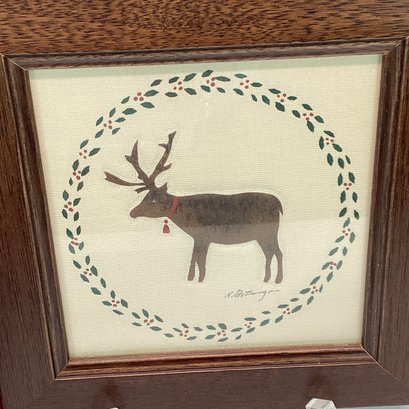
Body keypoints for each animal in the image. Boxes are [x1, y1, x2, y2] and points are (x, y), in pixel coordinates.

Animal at [104, 132, 284, 284]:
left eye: (153, 200)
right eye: (144, 197)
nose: (132, 212)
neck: (186, 218)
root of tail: (279, 204)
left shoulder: (204, 235)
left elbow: (200, 260)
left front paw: (199, 280)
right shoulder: (198, 237)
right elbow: (194, 258)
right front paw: (192, 279)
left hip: (268, 231)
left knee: (277, 253)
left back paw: (277, 280)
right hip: (264, 235)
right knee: (270, 253)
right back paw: (267, 279)